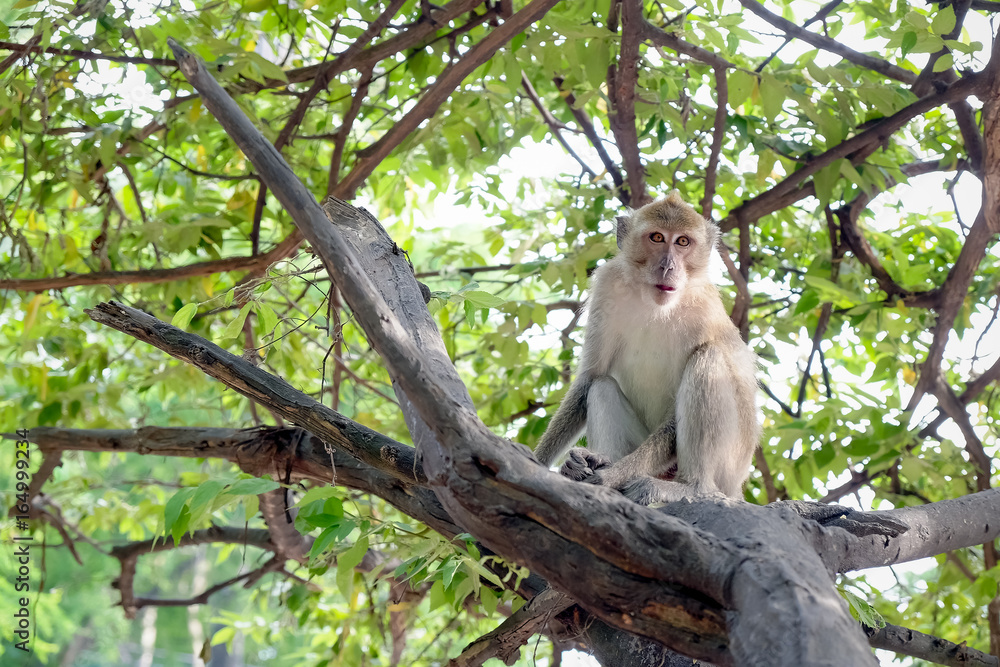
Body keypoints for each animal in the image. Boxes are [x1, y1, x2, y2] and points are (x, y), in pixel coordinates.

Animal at [533, 191, 759, 501]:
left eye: (683, 242)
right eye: (657, 238)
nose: (667, 266)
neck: (654, 304)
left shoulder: (705, 312)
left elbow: (675, 419)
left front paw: (611, 476)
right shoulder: (607, 285)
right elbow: (590, 378)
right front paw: (538, 462)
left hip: (729, 466)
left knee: (708, 358)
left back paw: (690, 488)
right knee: (601, 387)